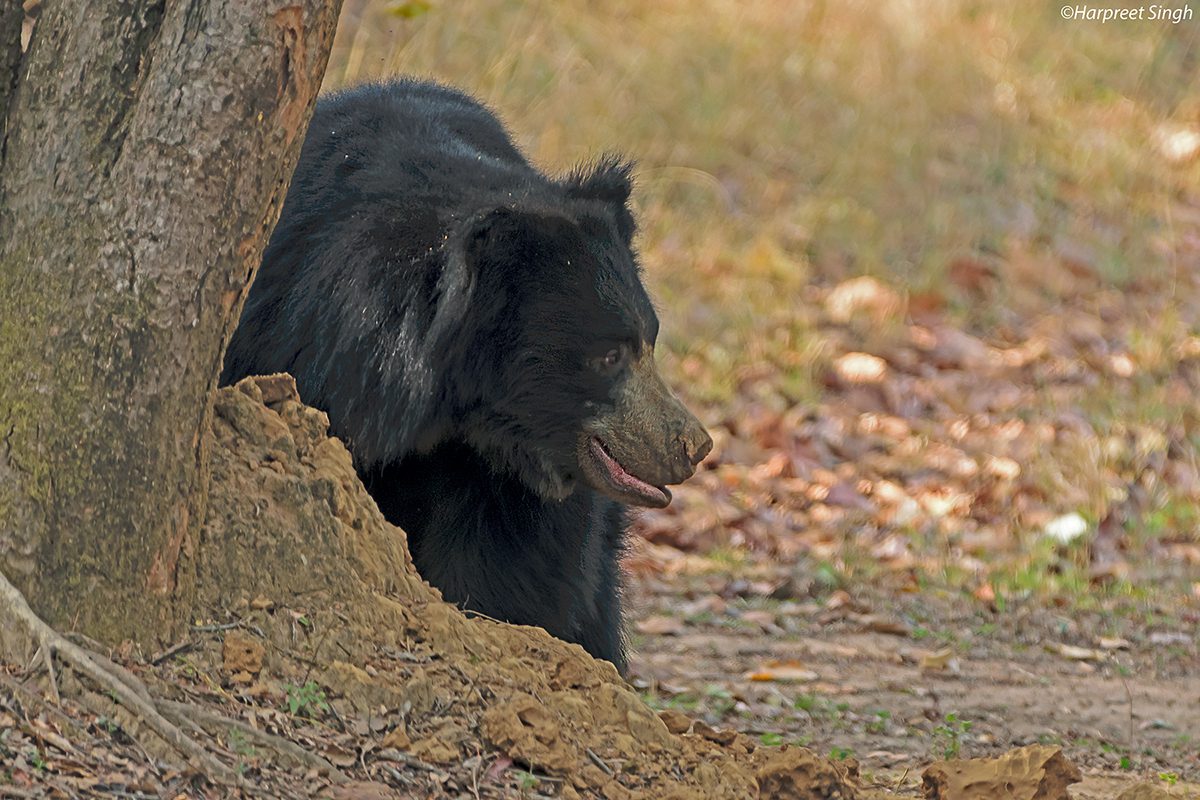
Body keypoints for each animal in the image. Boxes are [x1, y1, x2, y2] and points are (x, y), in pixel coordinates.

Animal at [223, 77, 710, 671]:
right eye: (609, 355)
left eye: (648, 340)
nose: (693, 445)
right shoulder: (284, 337)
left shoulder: (504, 474)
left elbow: (520, 561)